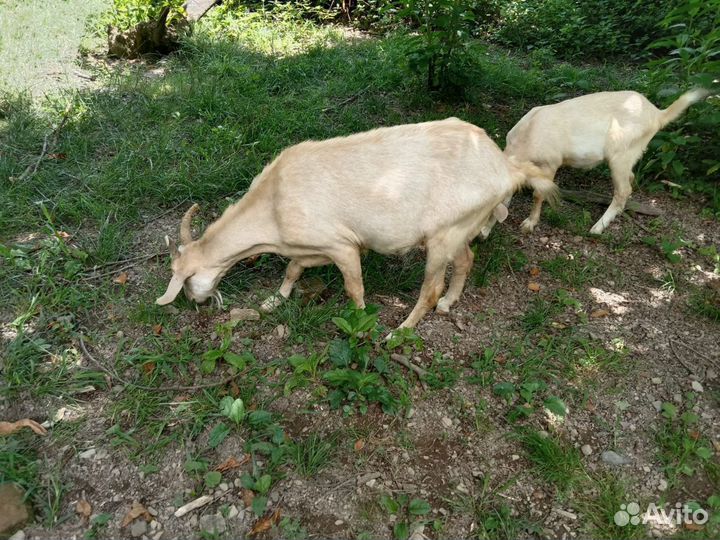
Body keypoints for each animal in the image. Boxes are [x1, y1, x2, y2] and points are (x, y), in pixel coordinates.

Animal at [156, 118, 557, 328]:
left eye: (186, 280)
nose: (198, 303)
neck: (272, 204)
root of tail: (504, 168)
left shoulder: (343, 245)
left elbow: (355, 289)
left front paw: (360, 324)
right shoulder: (310, 245)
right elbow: (293, 268)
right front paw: (274, 300)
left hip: (445, 234)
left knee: (430, 288)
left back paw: (401, 331)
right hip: (460, 227)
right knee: (466, 261)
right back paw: (448, 304)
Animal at [504, 88, 711, 235]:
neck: (526, 137)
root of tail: (658, 114)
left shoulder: (550, 164)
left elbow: (538, 194)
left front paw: (529, 223)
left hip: (621, 153)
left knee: (623, 190)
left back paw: (598, 227)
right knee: (630, 179)